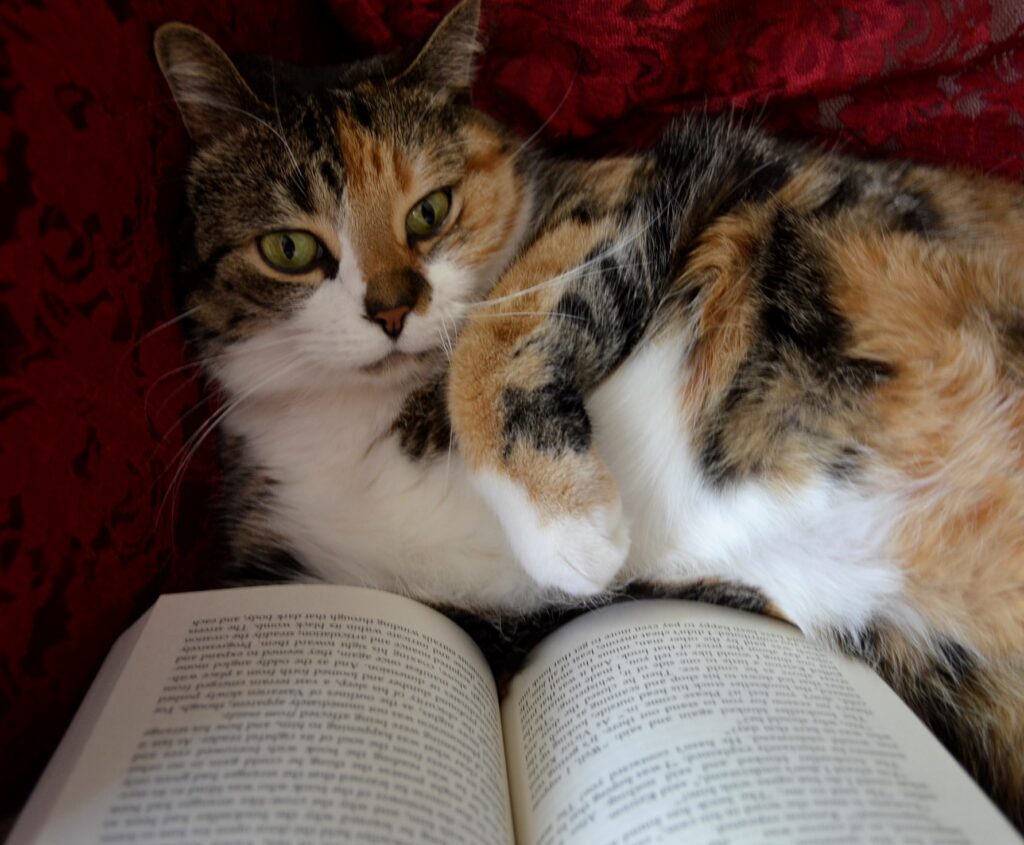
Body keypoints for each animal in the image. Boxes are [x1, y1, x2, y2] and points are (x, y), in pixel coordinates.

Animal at [153, 0, 1024, 823]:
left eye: (430, 210)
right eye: (290, 249)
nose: (394, 308)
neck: (363, 415)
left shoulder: (619, 198)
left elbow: (495, 322)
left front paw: (572, 528)